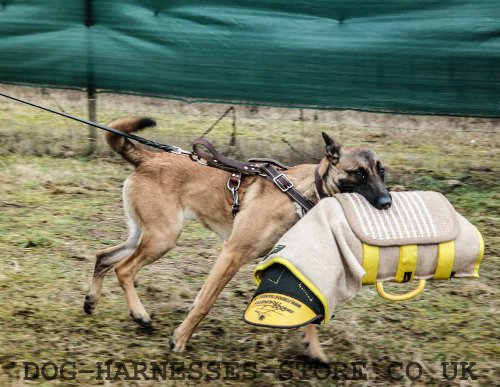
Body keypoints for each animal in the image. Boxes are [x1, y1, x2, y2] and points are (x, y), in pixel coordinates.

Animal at [84, 116, 390, 364]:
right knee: (124, 269)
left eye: (382, 171)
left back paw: (91, 301)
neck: (302, 193)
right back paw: (140, 314)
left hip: (143, 235)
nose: (387, 203)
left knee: (103, 257)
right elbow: (204, 303)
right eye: (359, 172)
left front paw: (313, 349)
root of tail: (149, 158)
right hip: (163, 237)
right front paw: (180, 339)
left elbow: (309, 312)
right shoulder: (232, 253)